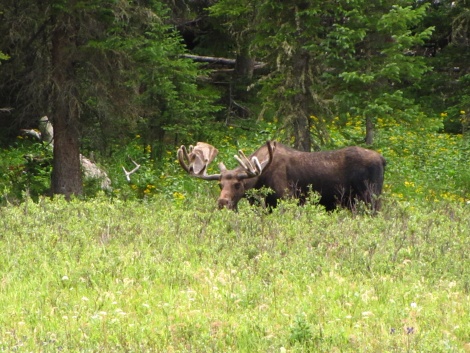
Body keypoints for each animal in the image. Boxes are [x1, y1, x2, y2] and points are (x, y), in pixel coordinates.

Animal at [177, 140, 386, 210]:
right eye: (220, 185)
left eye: (237, 184)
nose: (222, 202)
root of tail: (383, 159)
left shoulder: (287, 198)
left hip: (371, 197)